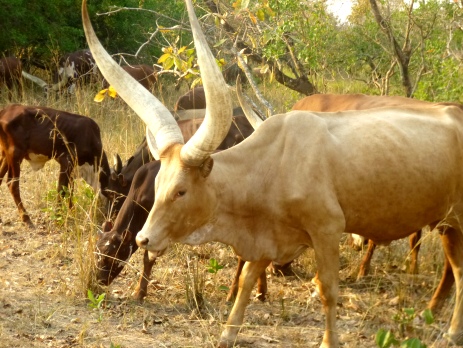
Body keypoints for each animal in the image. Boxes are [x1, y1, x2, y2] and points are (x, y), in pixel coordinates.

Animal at [83, 1, 463, 346]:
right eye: (158, 184)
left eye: (181, 191)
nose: (143, 239)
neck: (273, 165)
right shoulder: (265, 236)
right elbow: (247, 280)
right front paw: (227, 334)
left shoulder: (328, 230)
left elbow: (328, 290)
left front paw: (328, 341)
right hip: (447, 222)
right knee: (453, 268)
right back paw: (438, 317)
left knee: (456, 269)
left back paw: (449, 326)